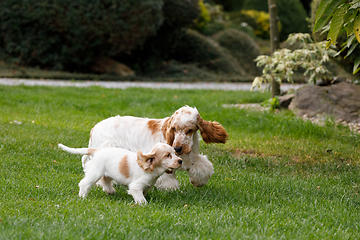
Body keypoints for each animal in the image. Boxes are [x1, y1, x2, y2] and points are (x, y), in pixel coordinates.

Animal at [81, 106, 228, 190]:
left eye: (189, 130)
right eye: (174, 129)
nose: (178, 148)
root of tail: (95, 128)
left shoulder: (191, 157)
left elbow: (203, 167)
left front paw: (198, 182)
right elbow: (170, 182)